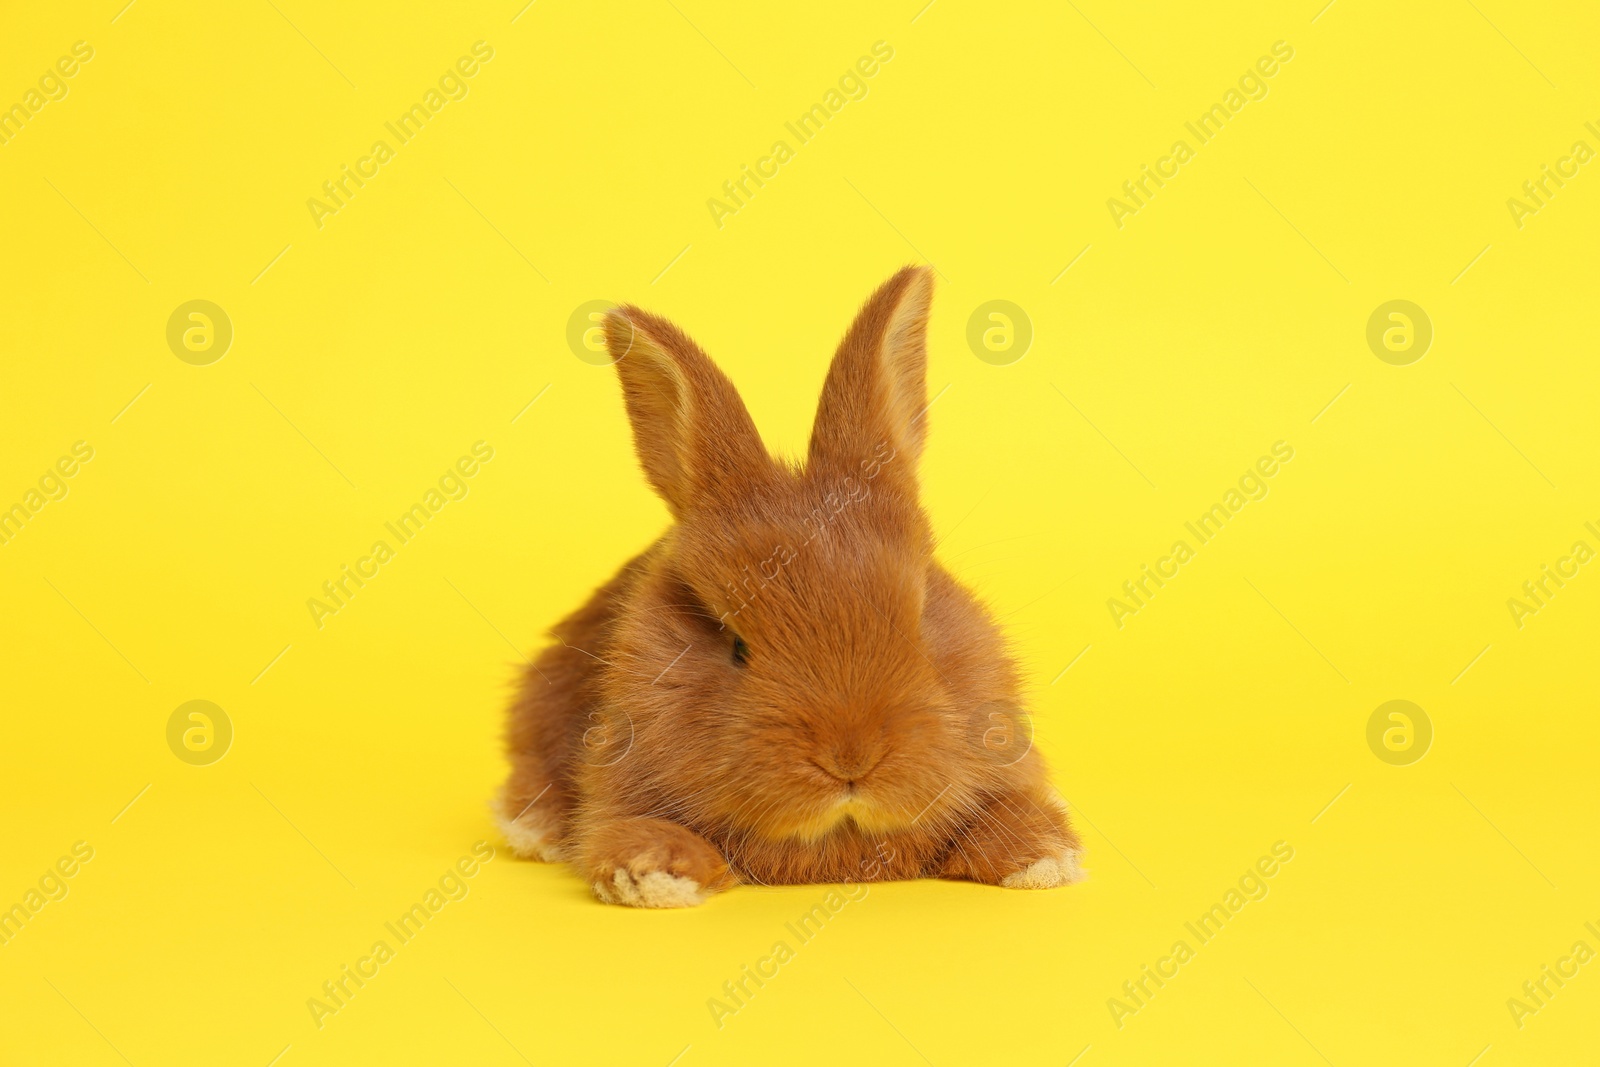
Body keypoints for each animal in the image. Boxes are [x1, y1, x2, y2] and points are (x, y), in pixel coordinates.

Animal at [492, 262, 1081, 908]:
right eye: (735, 646)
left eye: (922, 617)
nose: (851, 759)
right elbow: (632, 830)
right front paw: (655, 876)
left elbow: (1010, 812)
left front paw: (1042, 858)